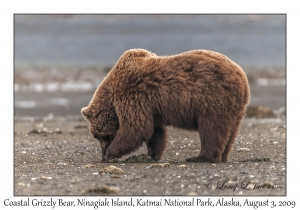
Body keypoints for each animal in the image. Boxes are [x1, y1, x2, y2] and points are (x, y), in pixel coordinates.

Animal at [81, 48, 250, 162]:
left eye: (101, 135)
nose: (102, 154)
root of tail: (243, 78)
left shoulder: (132, 95)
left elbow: (136, 127)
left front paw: (111, 154)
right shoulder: (150, 107)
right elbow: (155, 131)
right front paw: (152, 154)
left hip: (212, 98)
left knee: (212, 128)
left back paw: (200, 157)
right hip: (235, 109)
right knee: (230, 132)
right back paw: (223, 156)